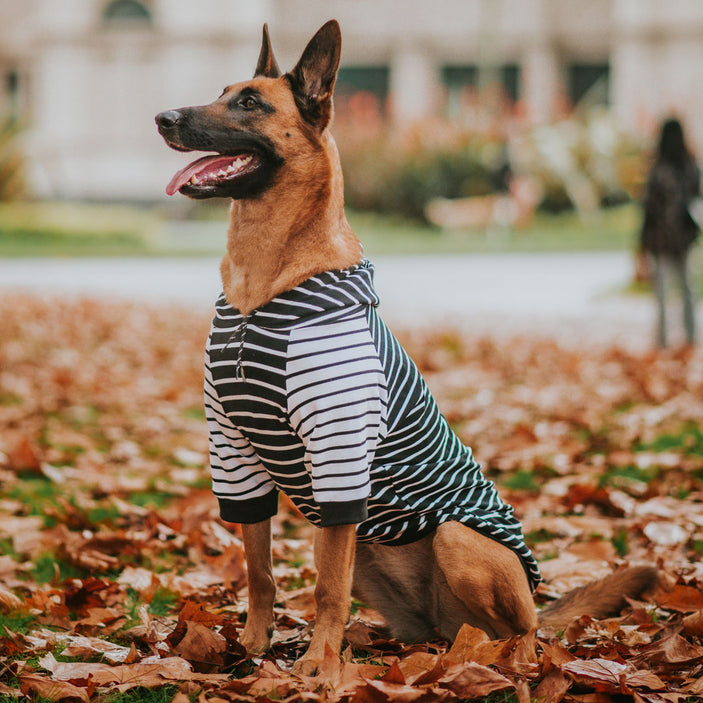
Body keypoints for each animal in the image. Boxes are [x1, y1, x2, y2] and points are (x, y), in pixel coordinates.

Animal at [155, 19, 660, 672]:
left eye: (249, 104)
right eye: (222, 92)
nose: (162, 118)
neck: (262, 291)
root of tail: (458, 629)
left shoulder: (340, 455)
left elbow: (326, 587)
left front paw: (317, 666)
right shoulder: (235, 452)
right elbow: (261, 571)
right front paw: (253, 647)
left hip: (451, 539)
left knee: (526, 628)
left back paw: (512, 660)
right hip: (368, 552)